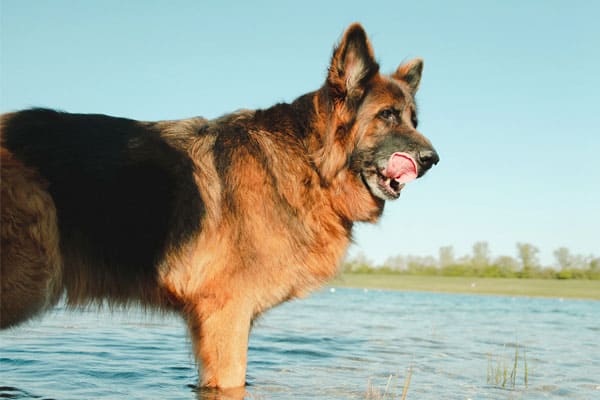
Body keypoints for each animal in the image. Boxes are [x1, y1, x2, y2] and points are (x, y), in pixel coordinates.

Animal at [2, 24, 438, 390]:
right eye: (387, 115)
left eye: (414, 119)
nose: (433, 160)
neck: (308, 160)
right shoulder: (226, 315)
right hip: (29, 279)